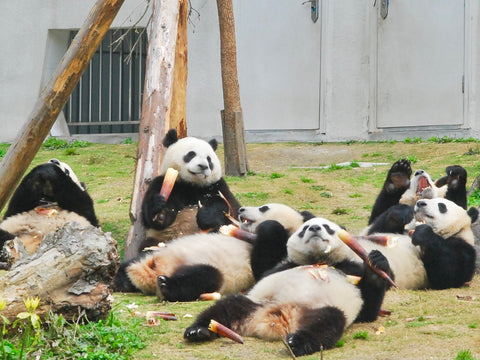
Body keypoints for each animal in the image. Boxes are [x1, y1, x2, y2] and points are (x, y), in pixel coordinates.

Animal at [113, 202, 316, 298]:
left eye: (263, 208)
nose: (241, 209)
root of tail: (146, 275)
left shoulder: (282, 251)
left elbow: (263, 268)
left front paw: (269, 226)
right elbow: (215, 227)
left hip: (215, 274)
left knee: (202, 277)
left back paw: (165, 285)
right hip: (157, 252)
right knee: (133, 261)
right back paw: (120, 279)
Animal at [185, 246, 394, 356]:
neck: (322, 262)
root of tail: (275, 319)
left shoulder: (352, 272)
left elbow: (368, 310)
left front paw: (376, 265)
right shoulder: (283, 266)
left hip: (317, 310)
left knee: (328, 323)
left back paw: (296, 342)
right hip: (254, 304)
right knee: (225, 308)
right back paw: (199, 330)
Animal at [284, 197, 478, 290]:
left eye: (442, 206)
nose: (420, 203)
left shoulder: (462, 245)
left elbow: (448, 273)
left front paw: (424, 234)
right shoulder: (383, 231)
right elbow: (379, 225)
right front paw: (403, 212)